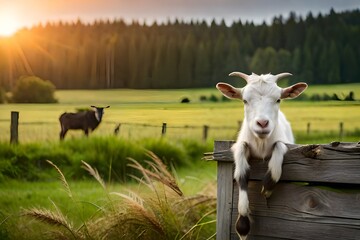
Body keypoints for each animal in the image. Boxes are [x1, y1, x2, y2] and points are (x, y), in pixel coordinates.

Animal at [215, 71, 308, 240]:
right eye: (245, 100)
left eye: (278, 99)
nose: (263, 123)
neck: (261, 143)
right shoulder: (241, 144)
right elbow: (242, 173)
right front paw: (243, 226)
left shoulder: (282, 142)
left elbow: (279, 149)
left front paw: (267, 187)